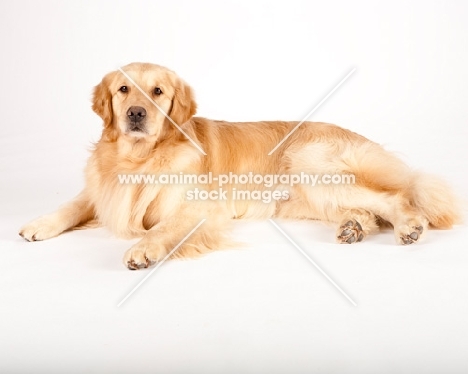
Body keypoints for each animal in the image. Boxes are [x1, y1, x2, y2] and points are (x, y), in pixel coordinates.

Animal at [19, 62, 460, 268]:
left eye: (157, 91)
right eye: (123, 89)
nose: (136, 114)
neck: (139, 158)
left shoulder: (200, 207)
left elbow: (164, 228)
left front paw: (144, 249)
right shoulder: (103, 189)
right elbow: (73, 204)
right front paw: (39, 224)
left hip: (310, 165)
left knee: (396, 197)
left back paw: (408, 227)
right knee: (368, 210)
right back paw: (353, 227)